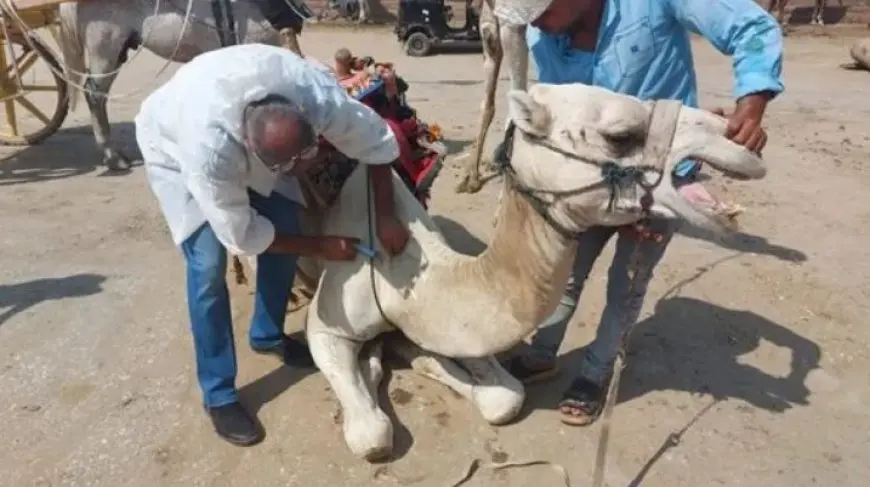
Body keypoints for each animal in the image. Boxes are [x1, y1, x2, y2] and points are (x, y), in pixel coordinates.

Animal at [294, 84, 768, 462]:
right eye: (620, 135)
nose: (741, 137)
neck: (407, 272)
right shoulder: (329, 325)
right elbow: (371, 436)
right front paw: (376, 368)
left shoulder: (451, 327)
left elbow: (506, 397)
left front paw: (411, 357)